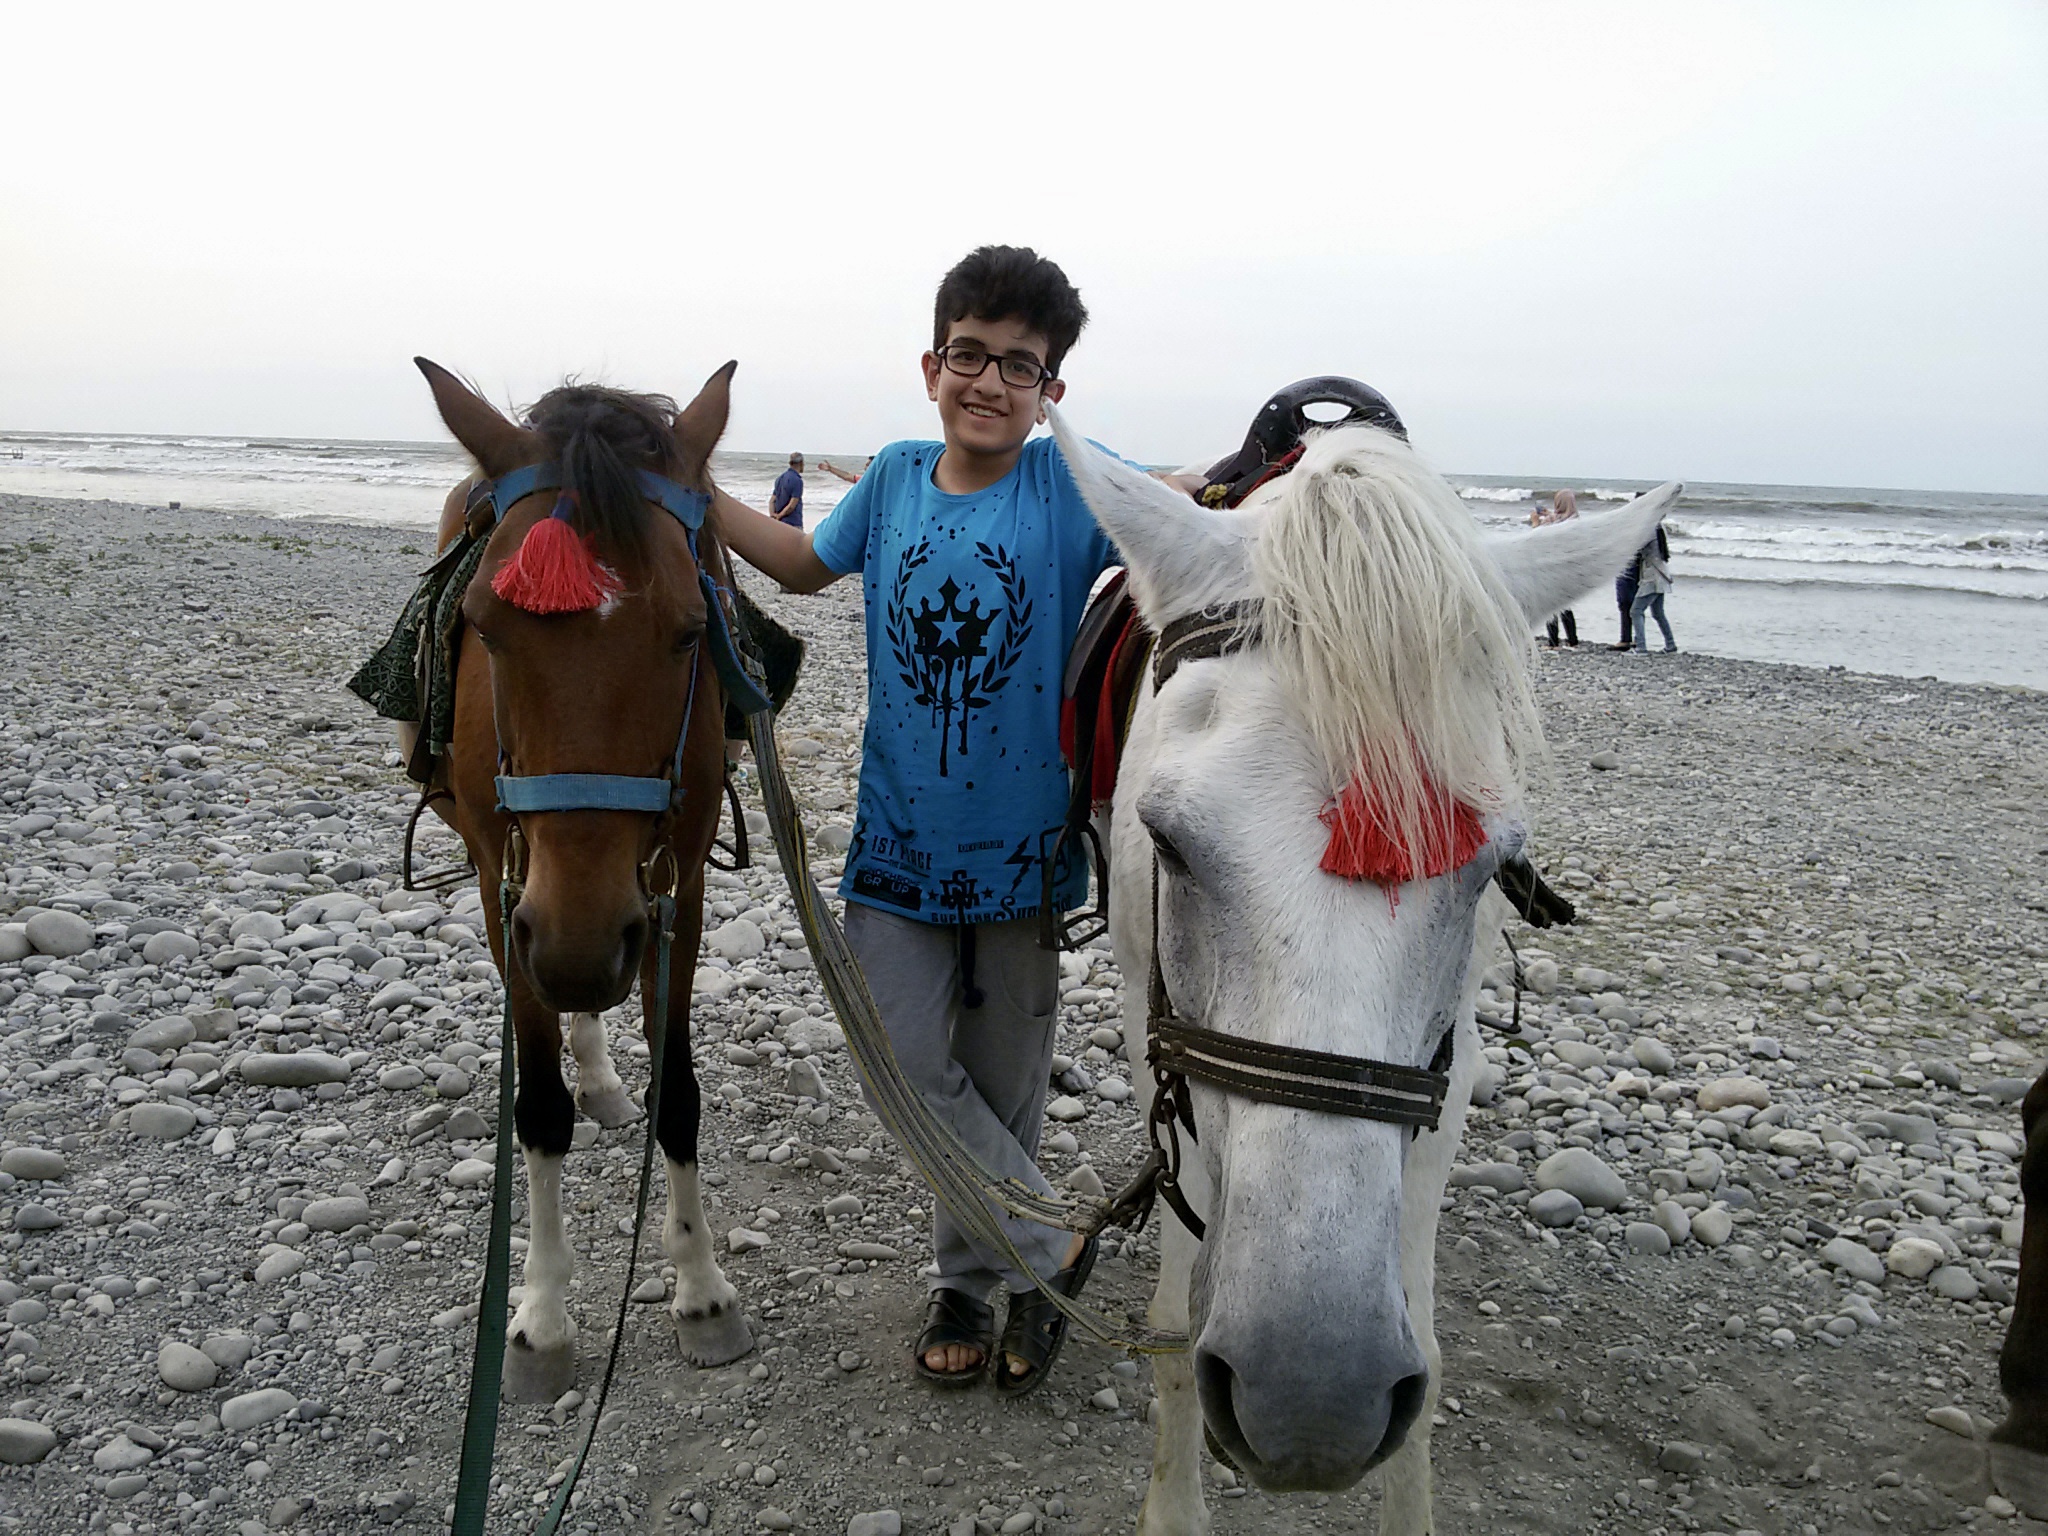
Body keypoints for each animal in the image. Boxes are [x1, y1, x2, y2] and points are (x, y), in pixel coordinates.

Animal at [415, 358, 761, 1392]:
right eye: (485, 629)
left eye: (690, 632)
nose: (576, 947)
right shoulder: (509, 896)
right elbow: (537, 1108)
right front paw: (538, 1317)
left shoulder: (676, 891)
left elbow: (678, 1094)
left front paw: (701, 1291)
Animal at [1048, 409, 1671, 1536]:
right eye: (1165, 842)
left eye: (1491, 867)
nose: (1311, 1401)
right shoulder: (1163, 1046)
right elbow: (1173, 1318)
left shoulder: (1445, 1072)